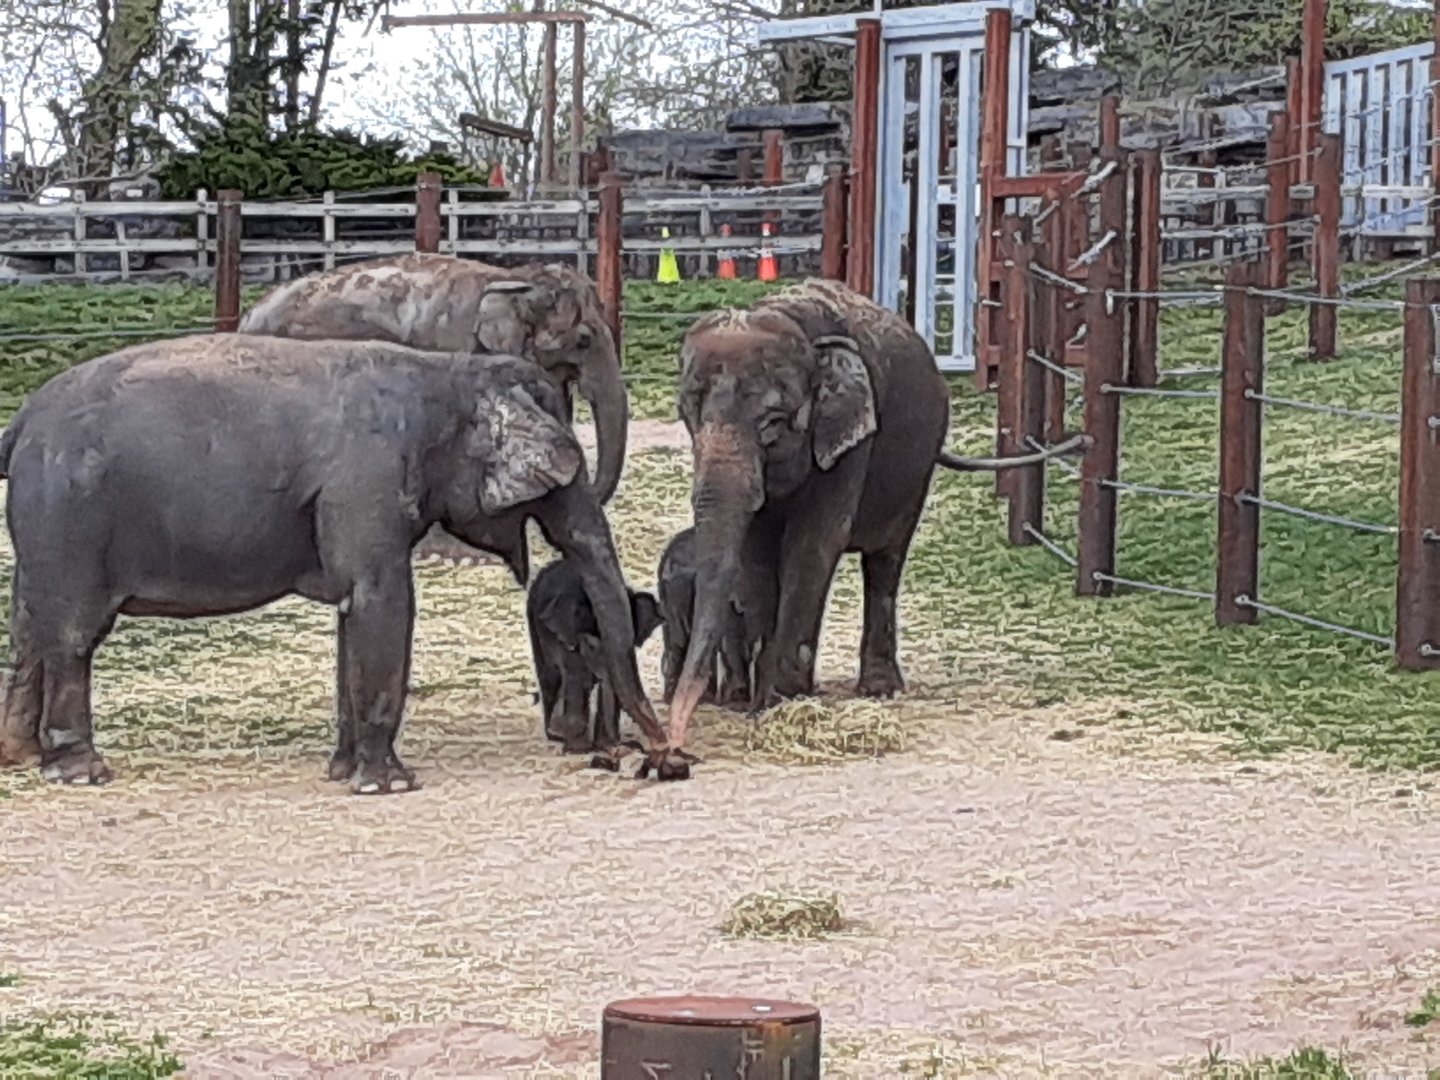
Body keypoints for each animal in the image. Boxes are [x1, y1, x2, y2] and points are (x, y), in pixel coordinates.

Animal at [526, 557, 664, 754]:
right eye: (590, 646)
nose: (616, 745)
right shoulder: (567, 637)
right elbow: (578, 678)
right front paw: (579, 749)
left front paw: (603, 745)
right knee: (550, 674)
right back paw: (555, 735)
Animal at [663, 277, 1088, 754]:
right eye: (687, 415)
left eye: (773, 423)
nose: (676, 738)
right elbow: (757, 553)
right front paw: (763, 705)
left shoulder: (851, 441)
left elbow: (813, 544)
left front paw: (783, 701)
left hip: (918, 467)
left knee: (886, 563)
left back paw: (879, 689)